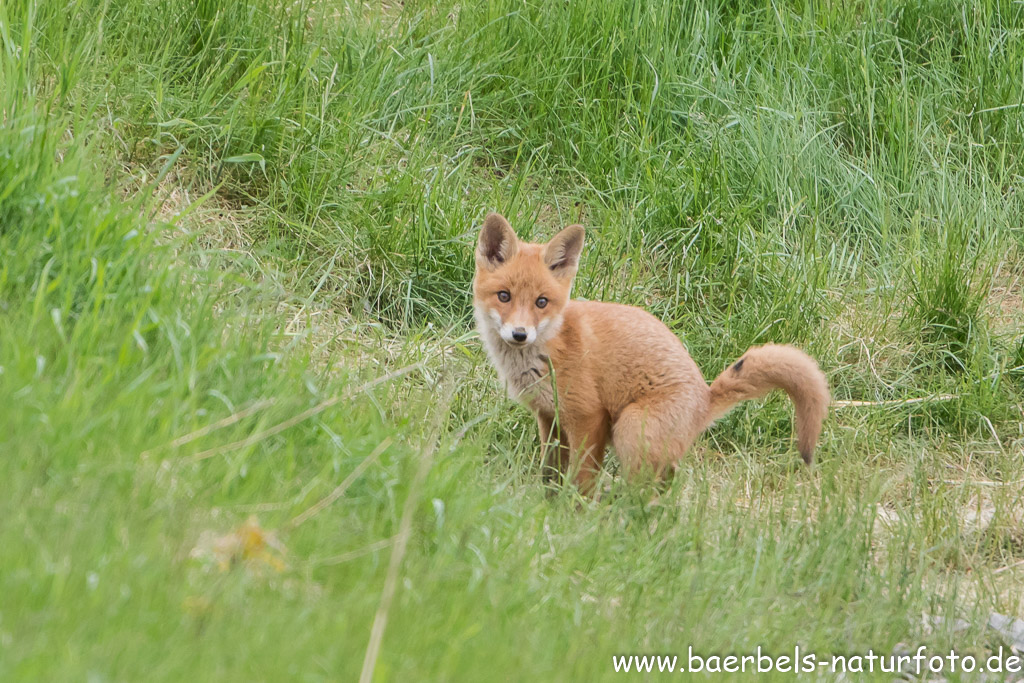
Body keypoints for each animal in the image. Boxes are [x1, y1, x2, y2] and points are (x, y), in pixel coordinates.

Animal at [475, 210, 827, 493]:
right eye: (504, 296)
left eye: (541, 302)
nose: (519, 334)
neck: (548, 350)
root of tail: (705, 397)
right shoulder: (549, 417)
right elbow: (550, 473)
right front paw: (547, 502)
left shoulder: (589, 416)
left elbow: (582, 480)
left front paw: (576, 514)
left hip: (629, 430)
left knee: (643, 497)